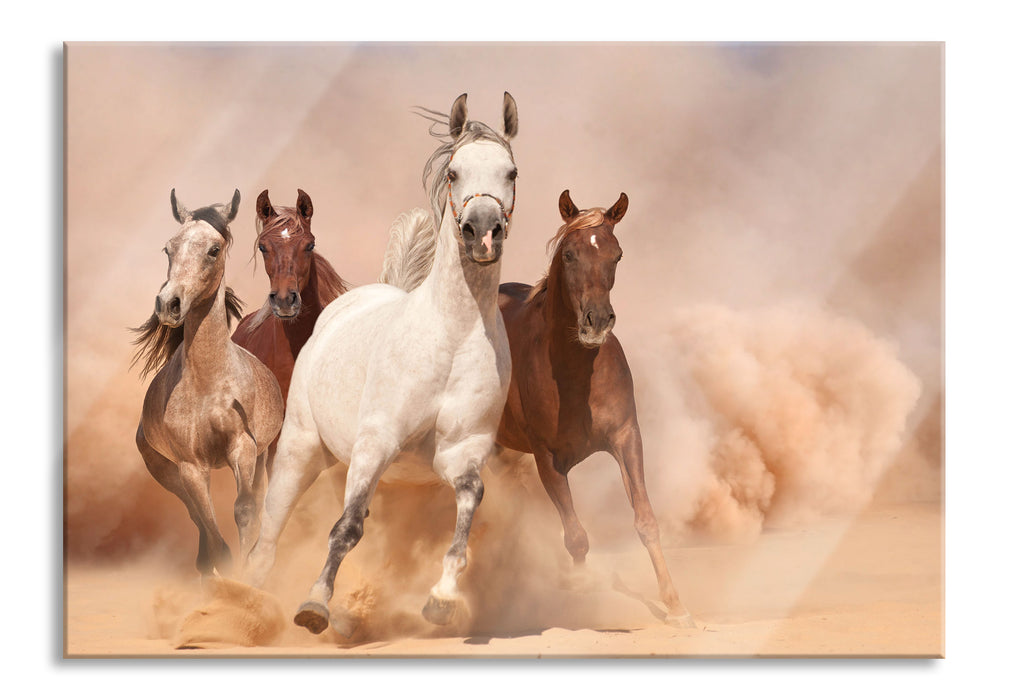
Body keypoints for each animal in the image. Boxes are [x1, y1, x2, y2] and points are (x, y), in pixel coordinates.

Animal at [131, 189, 284, 577]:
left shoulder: (243, 448)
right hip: (165, 471)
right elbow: (214, 535)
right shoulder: (190, 466)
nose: (168, 304)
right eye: (168, 249)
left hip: (261, 456)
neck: (209, 385)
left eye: (214, 249)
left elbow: (245, 510)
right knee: (196, 519)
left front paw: (249, 573)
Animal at [244, 92, 520, 636]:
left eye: (511, 171)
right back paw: (242, 600)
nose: (482, 232)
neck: (452, 337)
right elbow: (345, 528)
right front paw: (314, 606)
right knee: (270, 531)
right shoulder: (377, 442)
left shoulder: (461, 452)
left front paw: (442, 599)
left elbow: (467, 510)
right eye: (454, 172)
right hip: (301, 449)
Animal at [495, 189, 694, 627]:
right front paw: (581, 590)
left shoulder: (626, 436)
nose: (597, 321)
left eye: (616, 255)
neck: (575, 373)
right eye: (569, 254)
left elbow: (645, 520)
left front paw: (676, 606)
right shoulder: (546, 458)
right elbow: (576, 536)